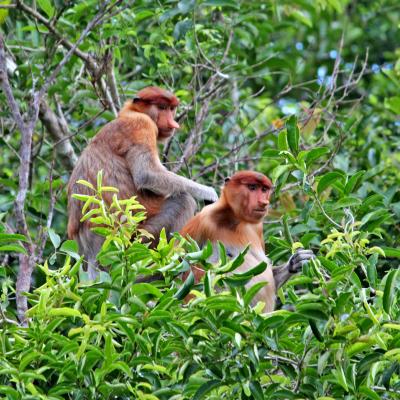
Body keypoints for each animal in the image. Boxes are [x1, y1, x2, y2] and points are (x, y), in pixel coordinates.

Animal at [69, 86, 219, 278]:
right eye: (161, 107)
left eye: (172, 109)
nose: (174, 124)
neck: (131, 112)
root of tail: (92, 249)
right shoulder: (142, 125)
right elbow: (147, 174)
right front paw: (210, 193)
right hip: (139, 241)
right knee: (184, 202)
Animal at [180, 170, 314, 310]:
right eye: (252, 187)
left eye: (264, 189)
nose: (263, 202)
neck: (235, 219)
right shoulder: (203, 219)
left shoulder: (258, 228)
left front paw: (297, 261)